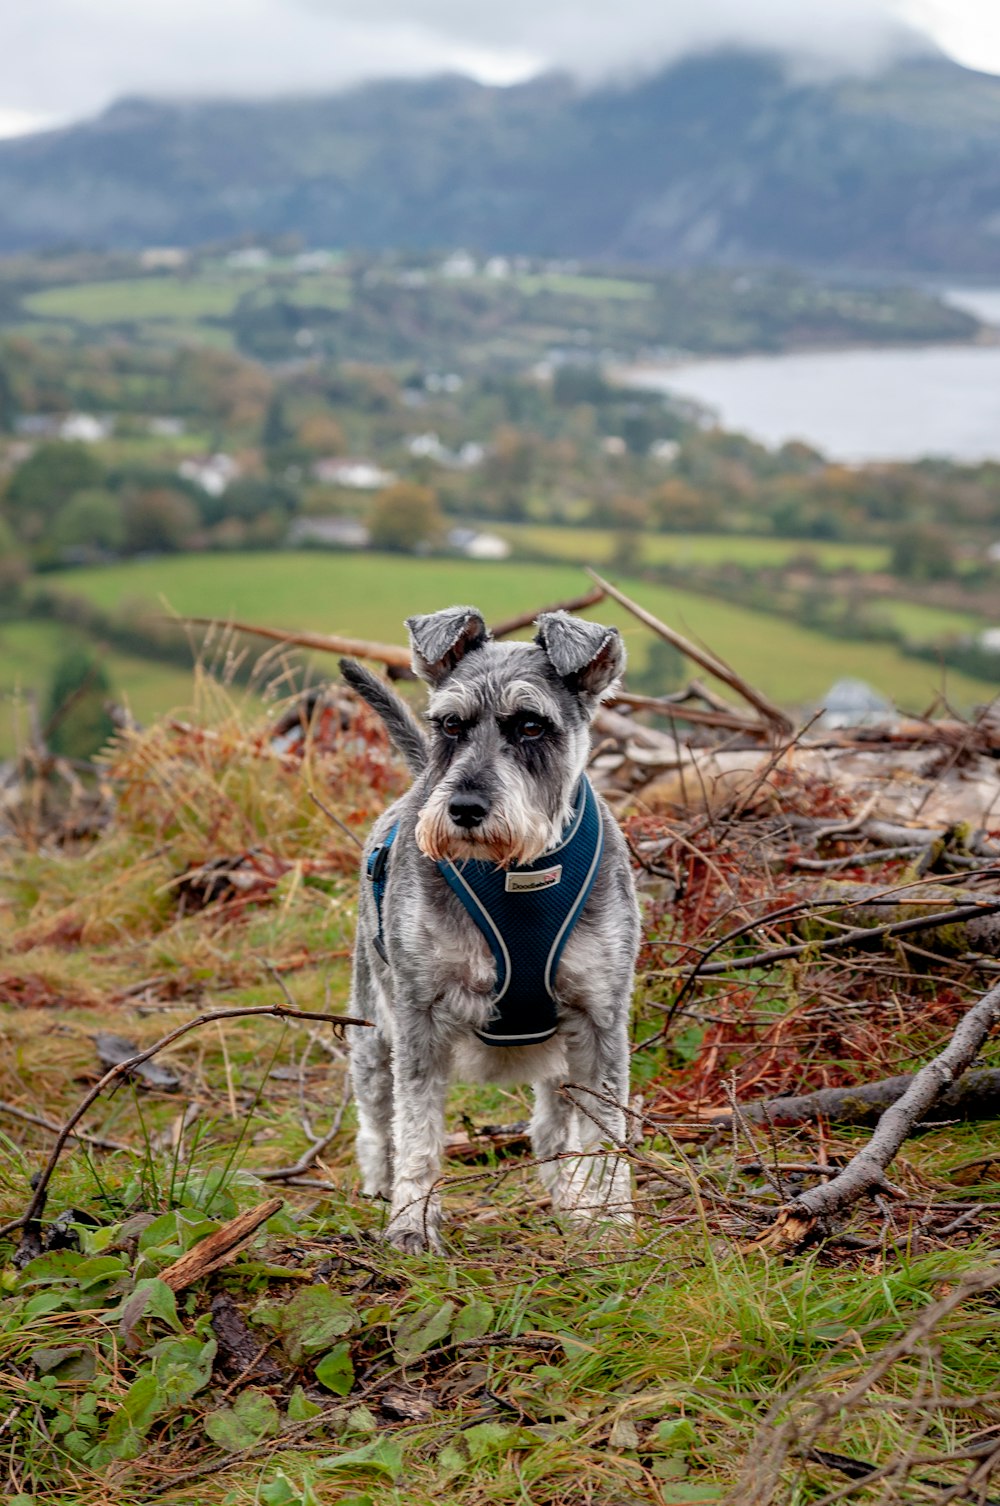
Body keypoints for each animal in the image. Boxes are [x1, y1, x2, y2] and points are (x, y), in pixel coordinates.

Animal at [341, 605, 641, 1252]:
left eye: (530, 725)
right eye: (450, 724)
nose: (464, 809)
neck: (515, 875)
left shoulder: (600, 1018)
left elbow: (605, 1133)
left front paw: (611, 1223)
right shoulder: (420, 1016)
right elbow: (417, 1131)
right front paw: (411, 1223)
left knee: (551, 1130)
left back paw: (571, 1202)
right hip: (372, 1034)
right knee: (377, 1121)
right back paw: (378, 1185)